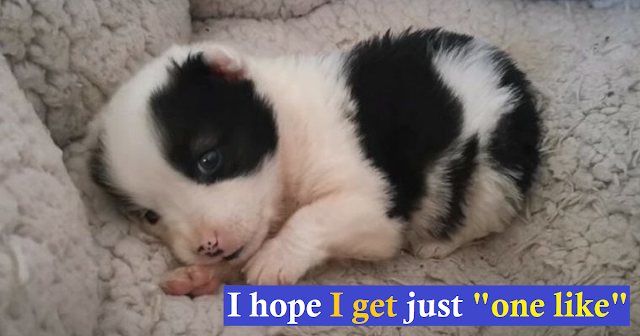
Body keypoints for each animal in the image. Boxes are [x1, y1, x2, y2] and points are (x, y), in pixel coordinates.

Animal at [89, 29, 540, 296]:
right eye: (150, 216)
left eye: (209, 159)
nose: (208, 246)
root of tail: (507, 70)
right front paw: (200, 276)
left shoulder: (373, 207)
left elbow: (313, 217)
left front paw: (274, 258)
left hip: (492, 174)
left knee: (481, 217)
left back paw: (438, 243)